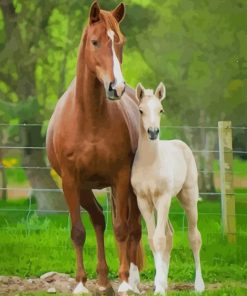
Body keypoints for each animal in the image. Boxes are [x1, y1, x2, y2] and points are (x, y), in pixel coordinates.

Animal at [46, 1, 143, 294]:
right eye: (95, 41)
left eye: (120, 41)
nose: (116, 87)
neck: (89, 119)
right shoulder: (70, 181)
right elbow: (78, 231)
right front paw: (80, 284)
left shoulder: (121, 177)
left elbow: (122, 229)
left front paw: (125, 282)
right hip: (85, 188)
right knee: (99, 219)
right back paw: (102, 281)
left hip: (131, 188)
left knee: (134, 228)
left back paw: (132, 280)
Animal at [131, 82, 205, 294]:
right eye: (141, 110)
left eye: (161, 110)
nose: (153, 132)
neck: (150, 163)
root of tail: (181, 144)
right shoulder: (143, 201)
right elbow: (153, 240)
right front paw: (159, 284)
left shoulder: (163, 198)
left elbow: (159, 239)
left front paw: (160, 289)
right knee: (170, 234)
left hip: (188, 197)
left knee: (194, 236)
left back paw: (199, 285)